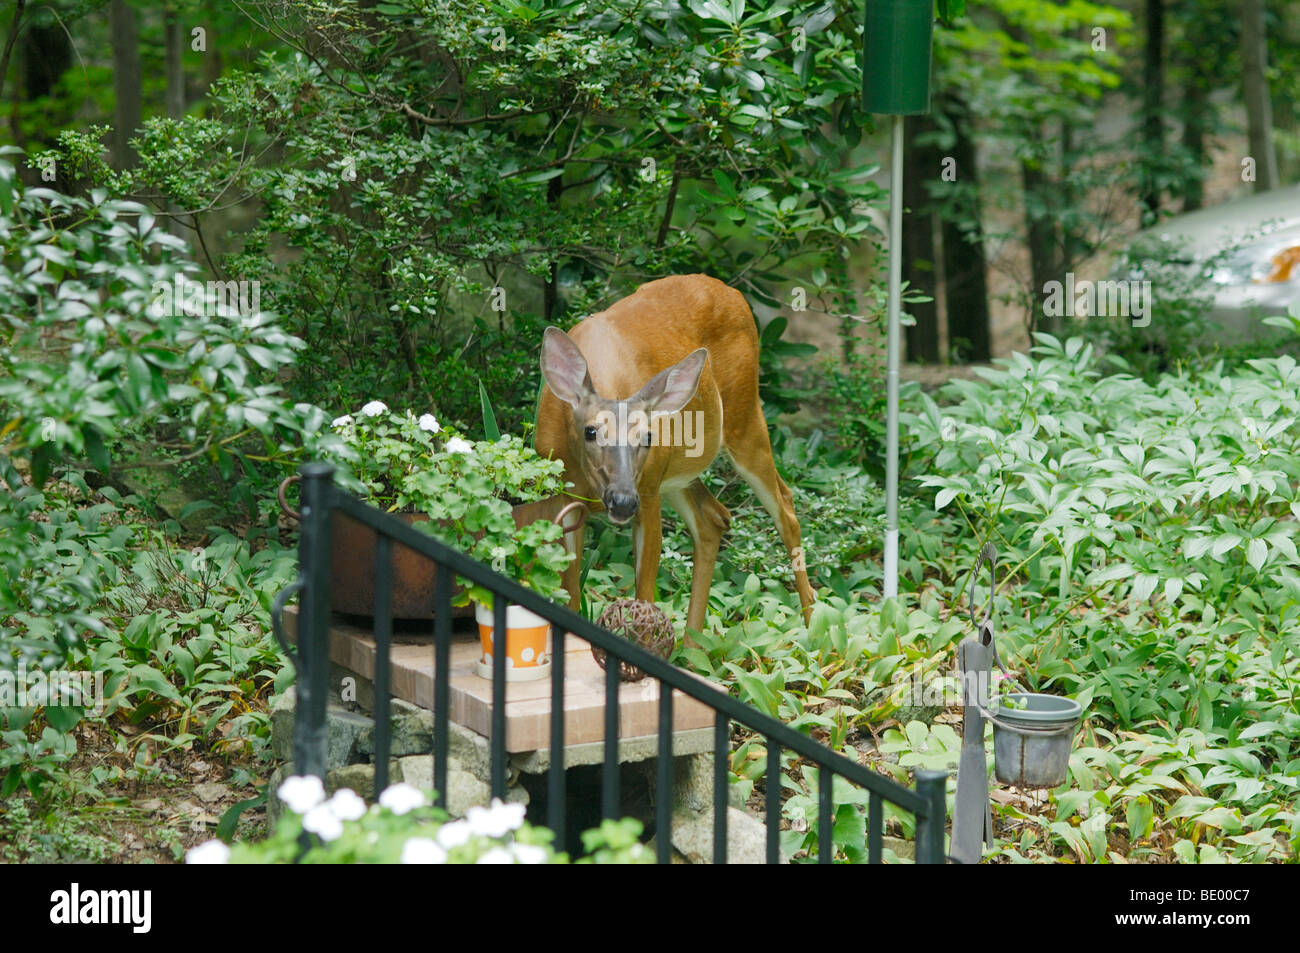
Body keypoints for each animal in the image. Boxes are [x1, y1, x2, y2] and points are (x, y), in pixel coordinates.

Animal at [535, 273, 811, 639]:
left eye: (648, 436)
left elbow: (644, 592)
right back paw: (691, 643)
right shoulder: (563, 494)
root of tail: (734, 292)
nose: (622, 501)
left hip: (745, 418)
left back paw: (814, 626)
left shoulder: (649, 492)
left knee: (786, 506)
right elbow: (569, 591)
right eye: (590, 431)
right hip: (679, 473)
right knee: (713, 518)